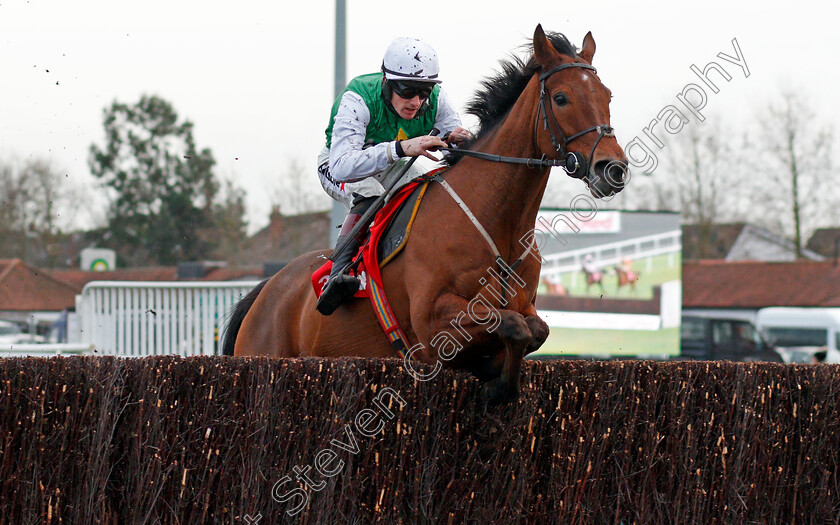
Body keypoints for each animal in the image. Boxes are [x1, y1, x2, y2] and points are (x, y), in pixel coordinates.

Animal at [226, 25, 628, 406]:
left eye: (607, 95)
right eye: (561, 98)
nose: (613, 169)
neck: (498, 223)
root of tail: (265, 290)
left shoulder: (525, 304)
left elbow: (535, 329)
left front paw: (497, 375)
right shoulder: (433, 322)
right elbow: (513, 326)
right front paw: (498, 386)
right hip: (265, 350)